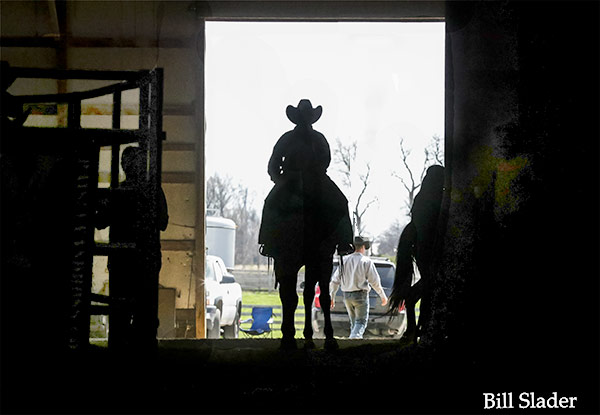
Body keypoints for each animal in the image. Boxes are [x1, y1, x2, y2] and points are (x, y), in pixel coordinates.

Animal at [256, 101, 352, 352]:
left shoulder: (321, 257)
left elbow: (319, 296)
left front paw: (327, 338)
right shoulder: (287, 258)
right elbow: (290, 297)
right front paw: (289, 337)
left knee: (307, 294)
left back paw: (307, 337)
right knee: (293, 294)